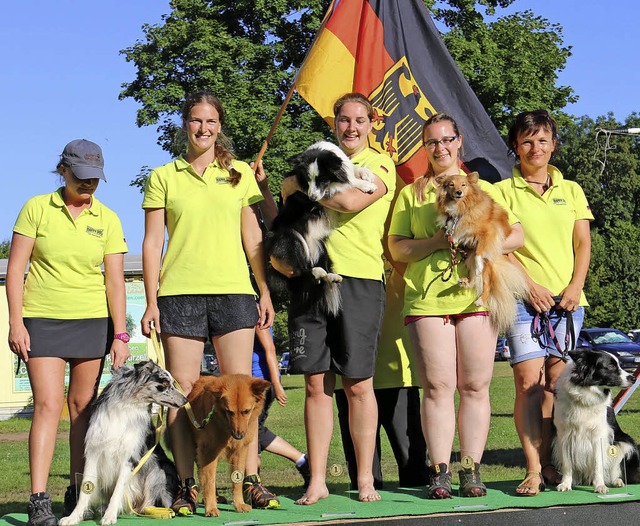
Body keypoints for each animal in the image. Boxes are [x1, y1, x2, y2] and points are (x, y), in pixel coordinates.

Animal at [60, 364, 188, 526]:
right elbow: (85, 490)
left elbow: (118, 489)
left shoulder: (129, 457)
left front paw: (110, 515)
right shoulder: (94, 452)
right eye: (165, 384)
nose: (185, 399)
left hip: (158, 469)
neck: (127, 403)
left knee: (148, 503)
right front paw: (74, 517)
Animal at [188, 376, 272, 520]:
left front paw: (239, 504)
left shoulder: (239, 452)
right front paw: (211, 508)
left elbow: (237, 481)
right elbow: (209, 482)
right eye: (229, 412)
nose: (238, 436)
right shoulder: (208, 453)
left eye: (246, 411)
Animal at [264, 139, 378, 318]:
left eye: (322, 179)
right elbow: (347, 183)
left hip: (322, 246)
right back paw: (316, 271)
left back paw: (330, 275)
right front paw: (365, 184)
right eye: (307, 179)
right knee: (299, 268)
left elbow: (351, 170)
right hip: (290, 237)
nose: (312, 198)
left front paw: (366, 173)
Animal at [552, 350, 636, 496]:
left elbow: (598, 463)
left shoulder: (598, 435)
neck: (585, 393)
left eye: (619, 364)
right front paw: (565, 484)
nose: (633, 378)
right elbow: (567, 463)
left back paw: (616, 481)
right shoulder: (563, 435)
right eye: (611, 366)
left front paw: (600, 486)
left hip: (625, 443)